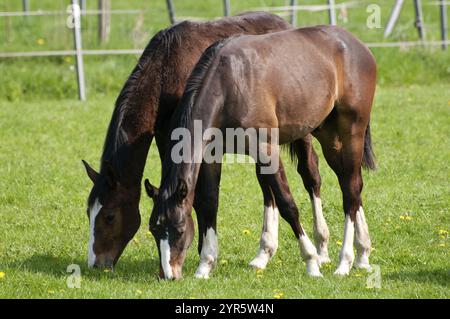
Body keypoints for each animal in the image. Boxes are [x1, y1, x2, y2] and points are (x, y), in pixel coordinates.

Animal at [81, 12, 330, 272]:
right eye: (89, 212)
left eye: (109, 216)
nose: (96, 263)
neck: (167, 69)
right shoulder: (168, 139)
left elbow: (201, 198)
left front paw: (201, 251)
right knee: (266, 186)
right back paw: (264, 253)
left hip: (300, 132)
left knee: (311, 175)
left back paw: (321, 248)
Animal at [149, 25, 376, 280]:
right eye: (154, 229)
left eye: (178, 229)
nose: (168, 274)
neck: (228, 84)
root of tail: (356, 44)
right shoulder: (211, 155)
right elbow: (209, 203)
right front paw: (205, 265)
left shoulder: (266, 150)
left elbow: (288, 205)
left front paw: (311, 262)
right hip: (329, 137)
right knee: (351, 186)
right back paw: (362, 254)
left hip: (352, 132)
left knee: (350, 192)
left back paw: (345, 262)